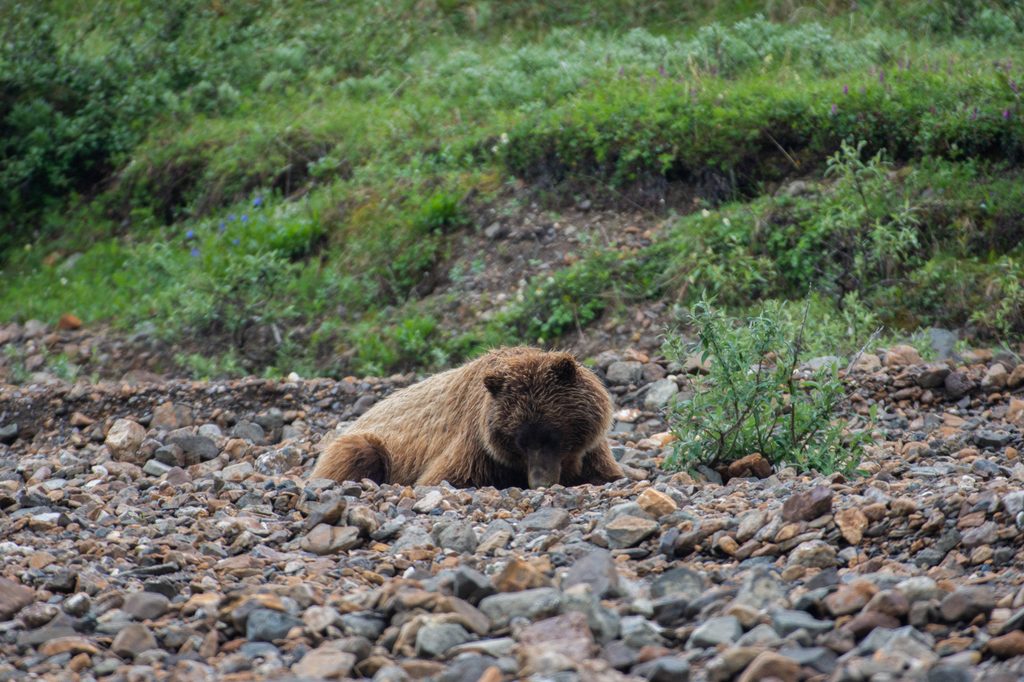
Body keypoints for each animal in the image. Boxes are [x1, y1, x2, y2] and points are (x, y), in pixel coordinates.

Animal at [311, 346, 623, 489]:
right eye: (520, 441)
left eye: (552, 435)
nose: (540, 482)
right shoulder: (476, 446)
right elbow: (445, 478)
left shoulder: (590, 450)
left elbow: (606, 474)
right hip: (371, 441)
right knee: (359, 453)